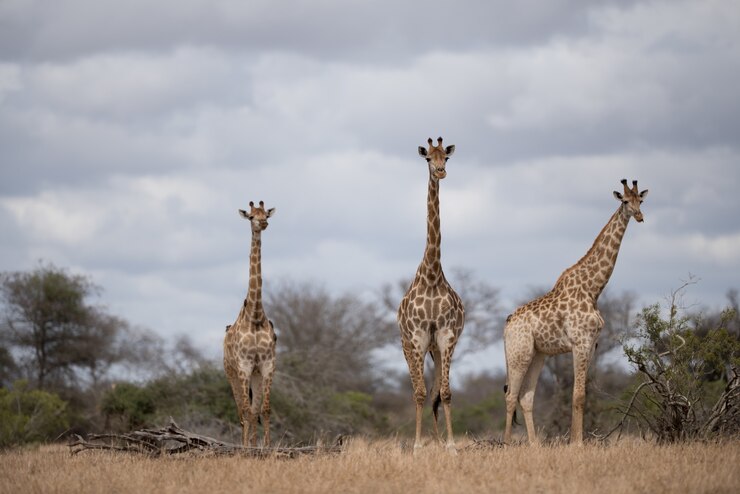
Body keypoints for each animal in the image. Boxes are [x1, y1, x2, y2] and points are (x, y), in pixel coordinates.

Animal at [502, 179, 648, 446]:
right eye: (624, 201)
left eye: (640, 200)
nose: (640, 216)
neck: (593, 289)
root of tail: (507, 324)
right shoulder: (580, 342)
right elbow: (577, 395)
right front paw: (576, 443)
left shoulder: (592, 345)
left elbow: (582, 394)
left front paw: (576, 440)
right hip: (519, 353)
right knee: (511, 396)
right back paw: (507, 444)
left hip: (538, 354)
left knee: (525, 396)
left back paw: (535, 445)